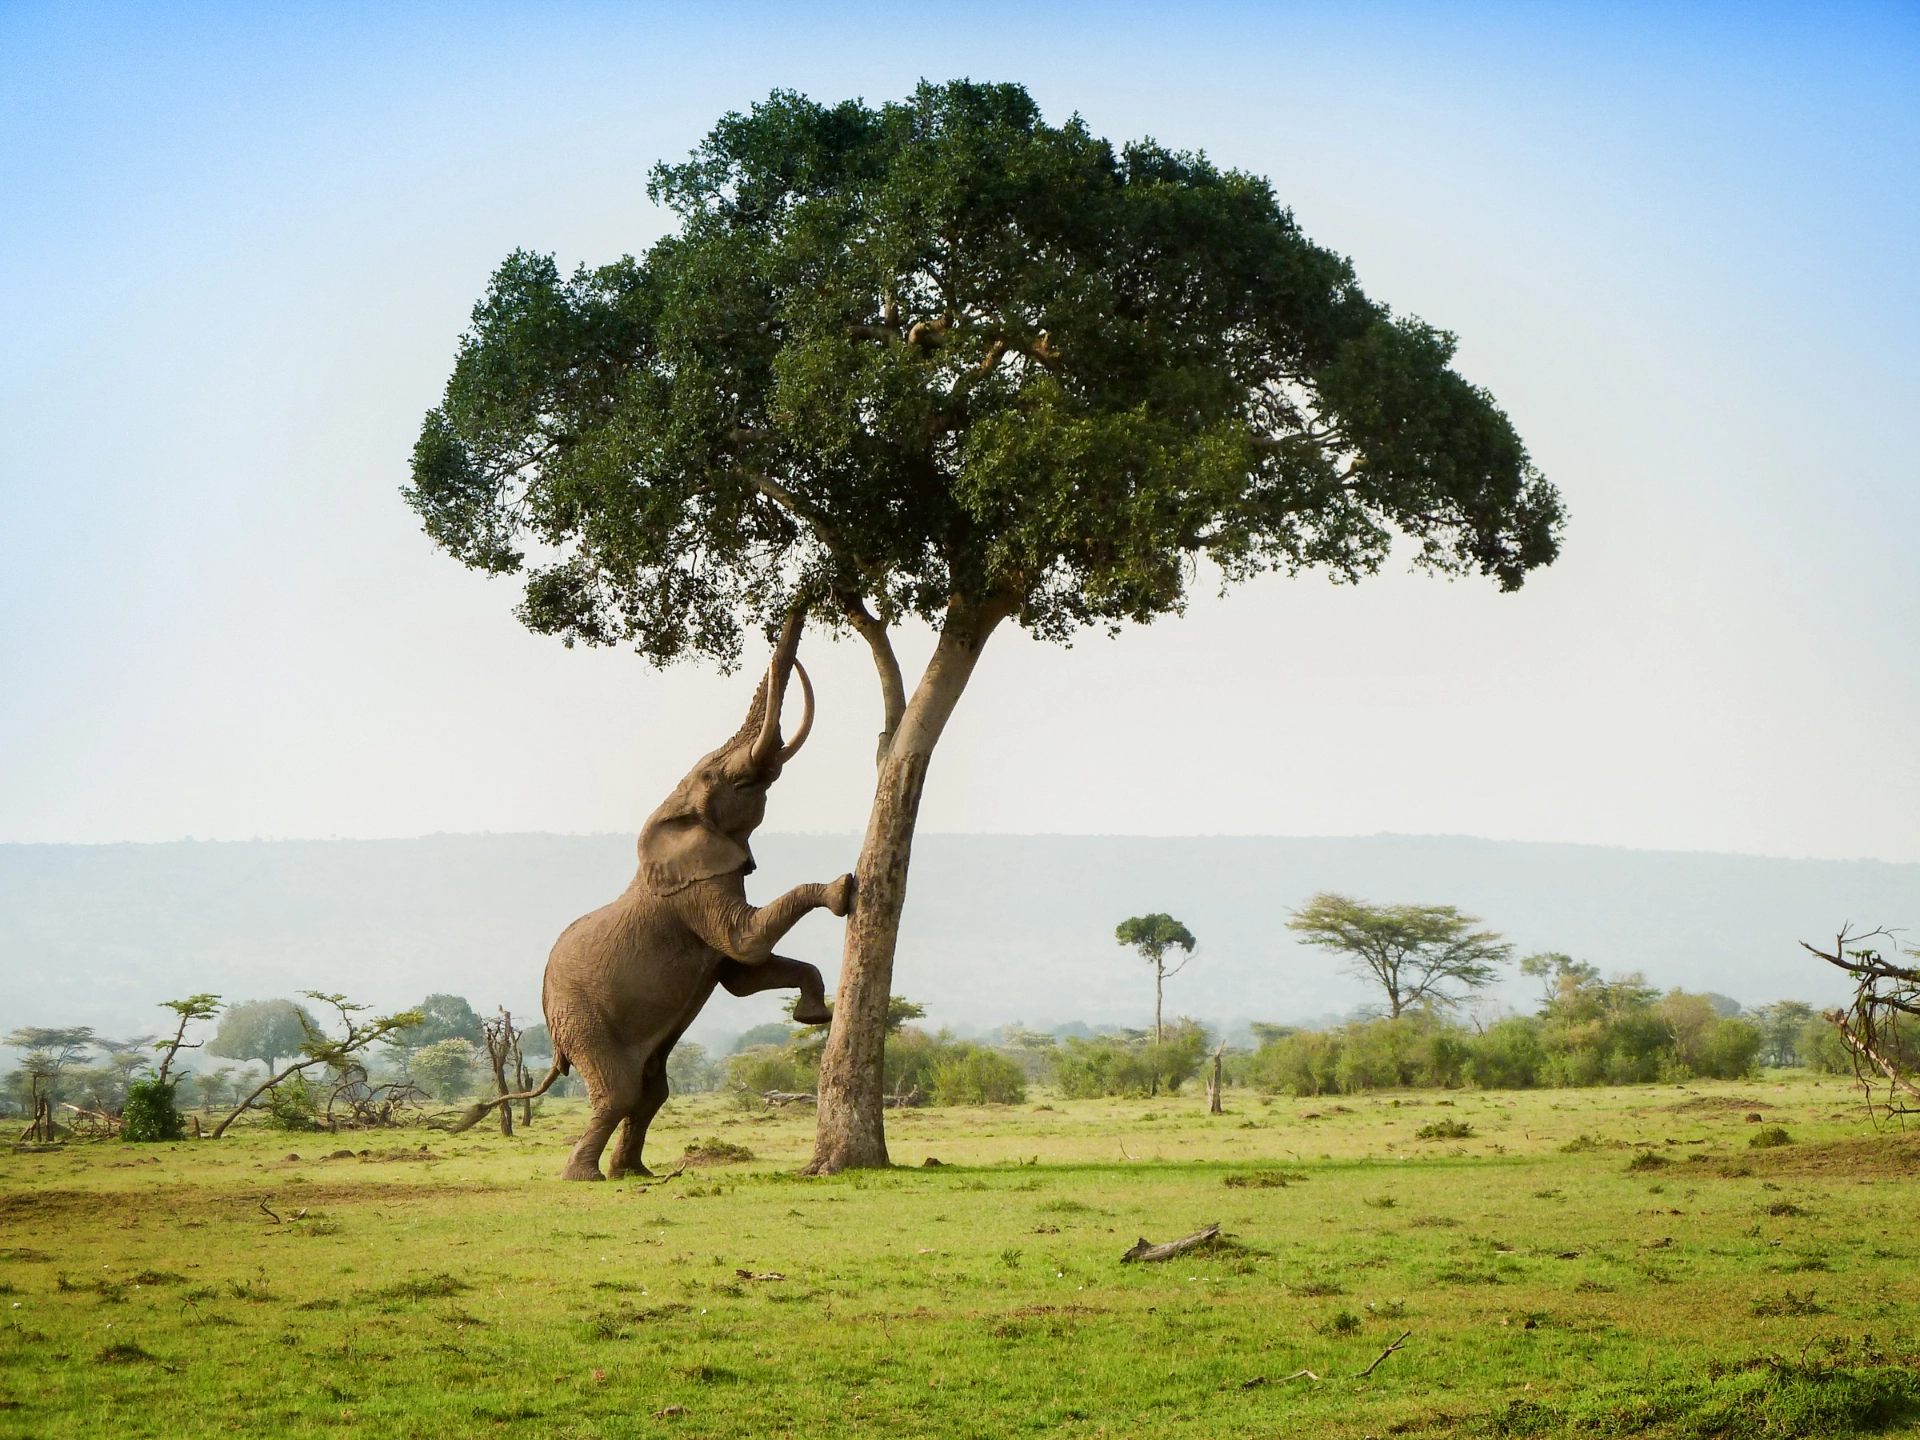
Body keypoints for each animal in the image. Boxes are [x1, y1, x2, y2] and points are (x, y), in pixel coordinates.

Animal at [453, 614, 852, 1175]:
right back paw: (585, 1177)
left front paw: (815, 1016)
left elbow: (744, 976)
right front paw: (843, 890)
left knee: (651, 1090)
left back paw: (632, 1171)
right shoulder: (692, 893)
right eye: (715, 776)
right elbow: (746, 943)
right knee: (619, 1092)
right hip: (582, 1019)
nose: (802, 605)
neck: (672, 810)